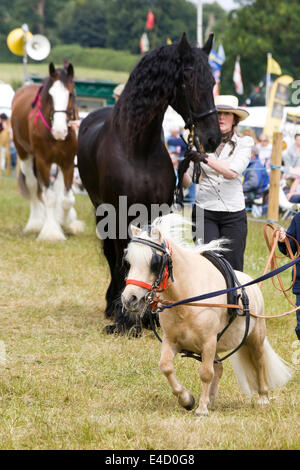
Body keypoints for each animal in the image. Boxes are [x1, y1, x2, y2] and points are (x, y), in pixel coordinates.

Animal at [11, 62, 84, 241]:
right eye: (50, 95)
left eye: (70, 94)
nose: (59, 131)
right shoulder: (43, 161)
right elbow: (49, 197)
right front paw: (51, 232)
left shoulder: (68, 162)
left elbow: (66, 199)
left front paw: (67, 222)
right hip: (24, 154)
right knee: (32, 185)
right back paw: (36, 222)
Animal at [78, 33, 223, 334]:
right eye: (188, 79)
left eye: (213, 82)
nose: (213, 137)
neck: (137, 148)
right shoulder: (119, 215)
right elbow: (124, 261)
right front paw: (124, 318)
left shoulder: (157, 209)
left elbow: (157, 253)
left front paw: (152, 316)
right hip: (100, 211)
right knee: (111, 256)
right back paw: (112, 305)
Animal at [120, 215, 292, 416]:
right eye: (128, 261)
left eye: (154, 262)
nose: (129, 299)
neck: (187, 301)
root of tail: (253, 284)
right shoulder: (171, 340)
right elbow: (166, 367)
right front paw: (187, 399)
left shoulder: (209, 341)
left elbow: (205, 373)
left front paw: (201, 408)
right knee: (219, 367)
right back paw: (211, 399)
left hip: (255, 337)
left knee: (259, 362)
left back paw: (263, 397)